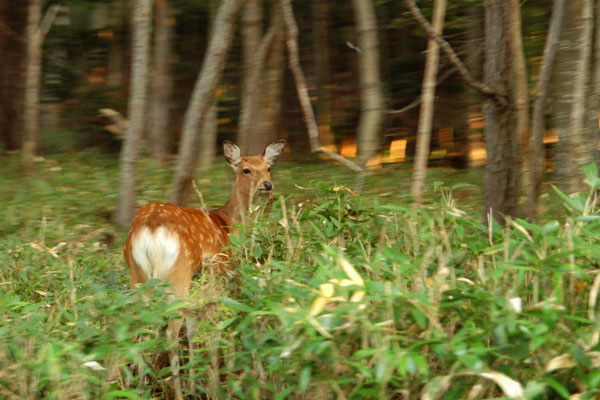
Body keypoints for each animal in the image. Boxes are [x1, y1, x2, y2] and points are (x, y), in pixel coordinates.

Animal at [123, 140, 284, 396]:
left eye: (268, 167)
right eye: (246, 169)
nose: (267, 185)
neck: (228, 227)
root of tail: (151, 227)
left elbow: (193, 332)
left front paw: (197, 381)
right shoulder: (218, 272)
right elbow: (216, 328)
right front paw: (216, 381)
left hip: (138, 276)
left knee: (138, 328)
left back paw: (136, 387)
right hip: (178, 276)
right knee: (170, 334)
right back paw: (177, 392)